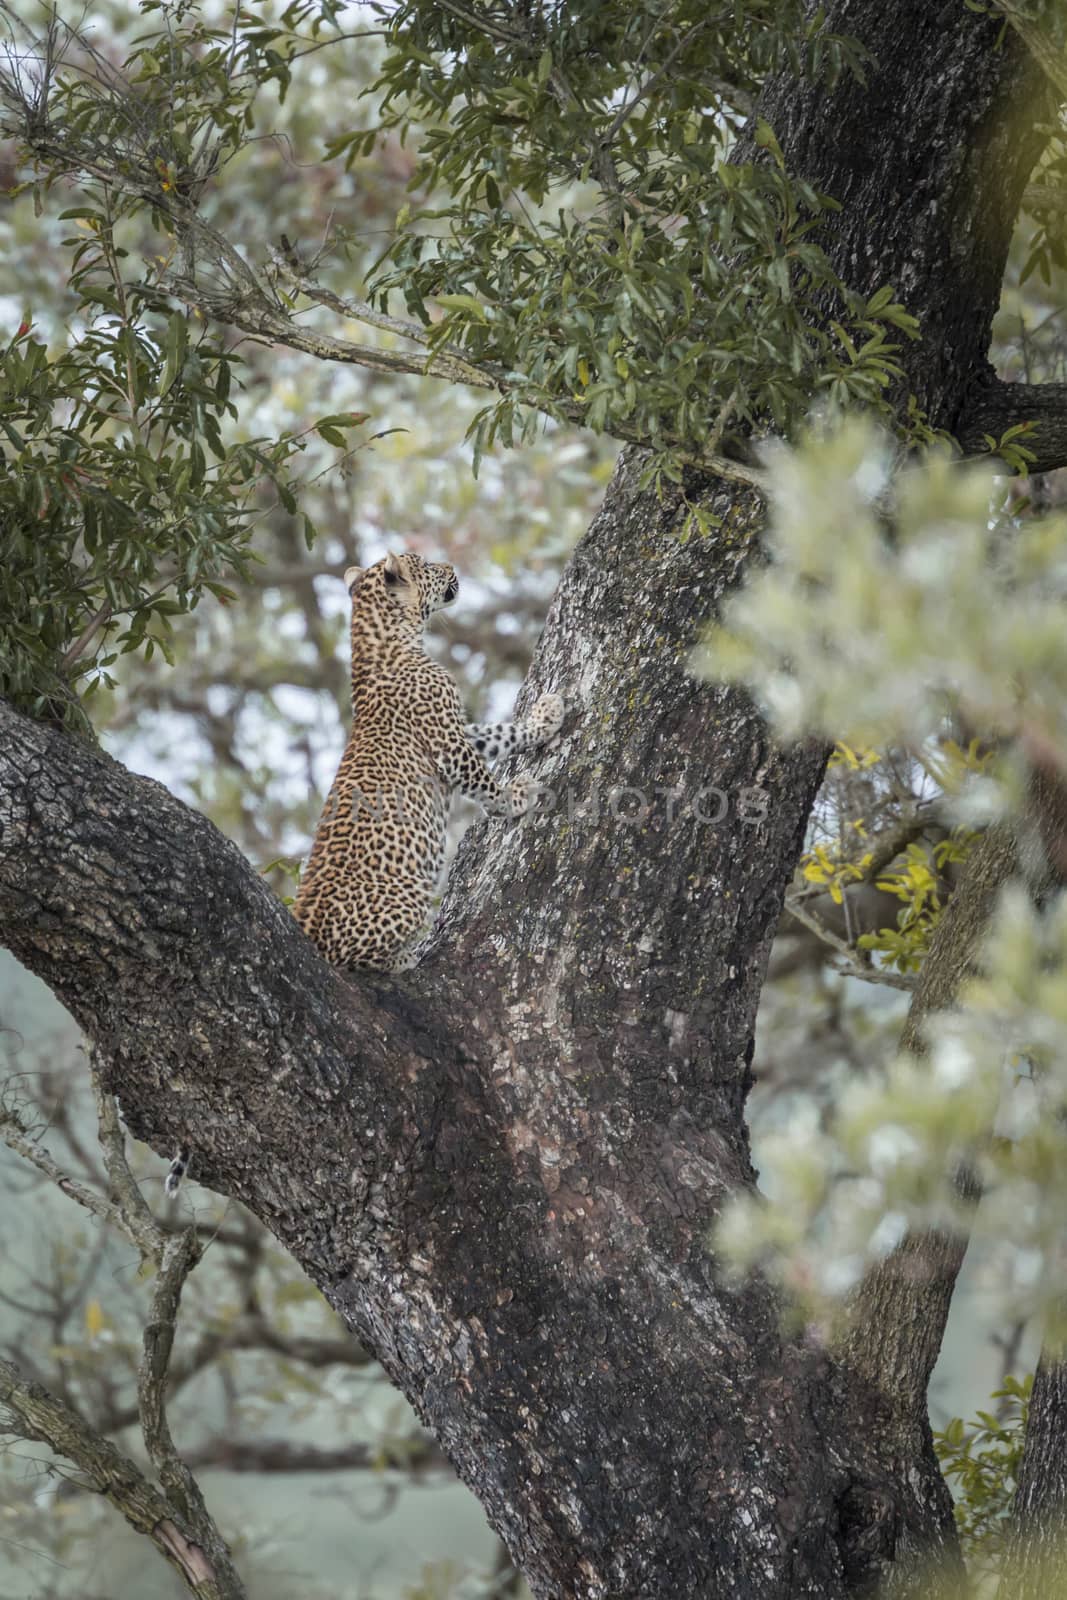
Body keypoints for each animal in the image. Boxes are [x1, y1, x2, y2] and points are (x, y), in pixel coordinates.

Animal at [287, 550, 563, 972]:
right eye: (426, 564)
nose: (450, 567)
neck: (391, 642)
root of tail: (305, 925)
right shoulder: (447, 743)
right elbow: (482, 780)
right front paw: (514, 798)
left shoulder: (458, 729)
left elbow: (502, 733)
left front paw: (544, 719)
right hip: (411, 896)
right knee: (356, 959)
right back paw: (406, 957)